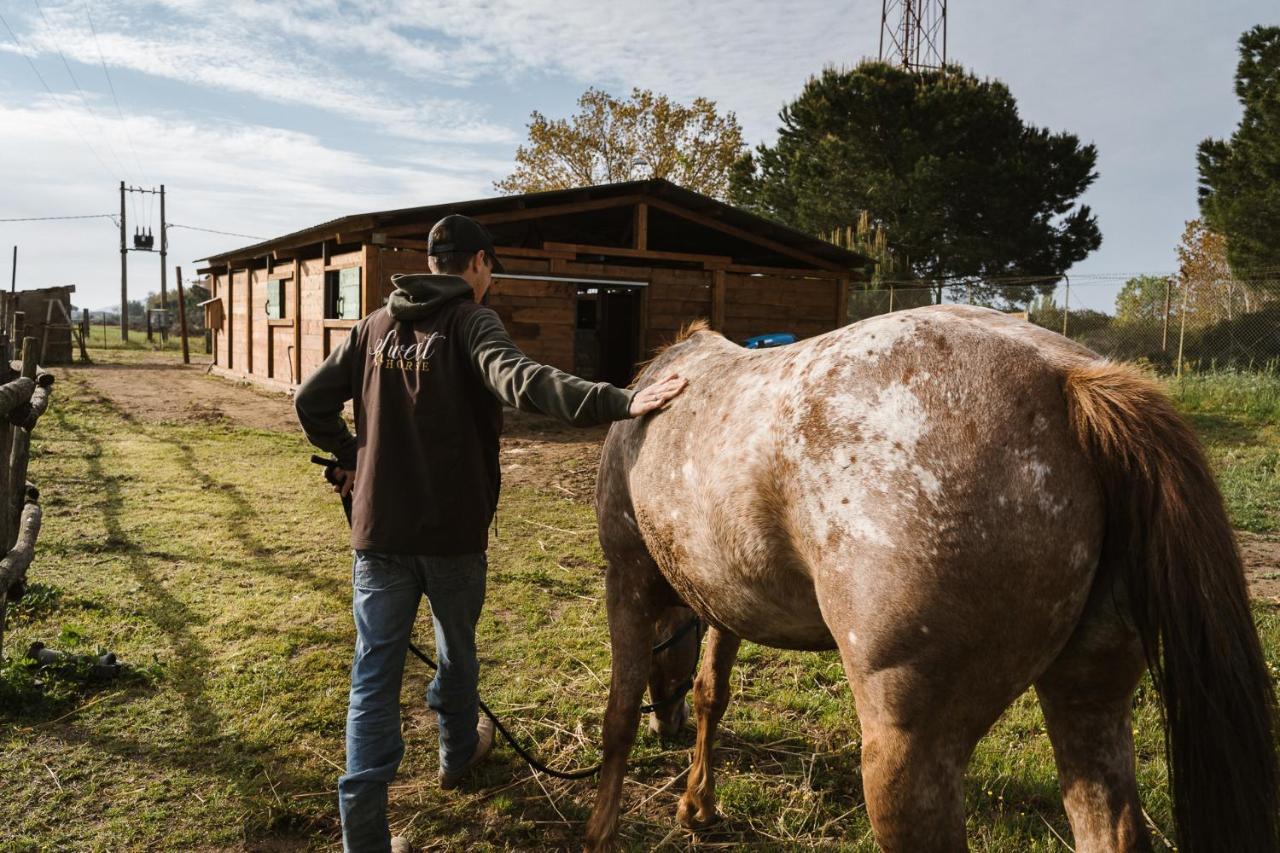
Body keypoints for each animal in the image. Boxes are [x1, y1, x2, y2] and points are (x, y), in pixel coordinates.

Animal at [586, 306, 1274, 850]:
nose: (667, 727)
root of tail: (1067, 380)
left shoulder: (628, 580)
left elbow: (619, 715)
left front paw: (602, 830)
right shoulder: (728, 601)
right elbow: (713, 692)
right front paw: (697, 804)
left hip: (908, 752)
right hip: (1090, 699)